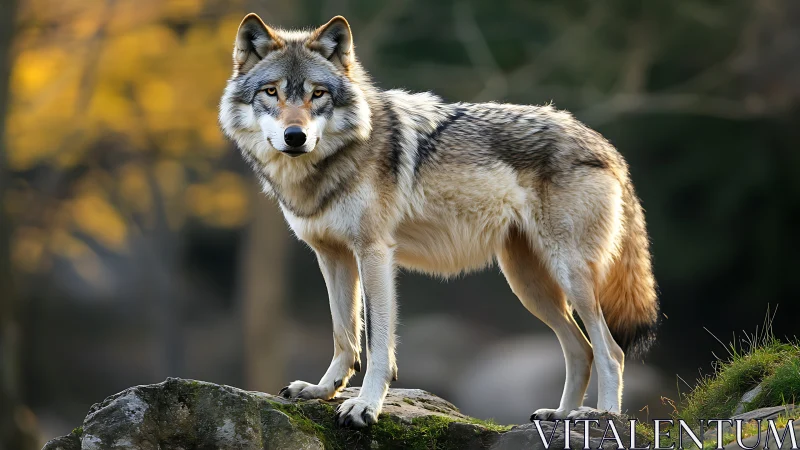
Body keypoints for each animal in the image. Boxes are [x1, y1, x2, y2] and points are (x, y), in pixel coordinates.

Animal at [219, 13, 659, 428]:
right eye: (271, 92)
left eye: (318, 94)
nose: (295, 136)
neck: (333, 161)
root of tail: (605, 145)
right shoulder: (332, 256)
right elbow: (344, 335)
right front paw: (322, 389)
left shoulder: (375, 253)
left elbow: (377, 344)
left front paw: (364, 406)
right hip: (529, 284)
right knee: (581, 349)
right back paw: (561, 415)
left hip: (569, 274)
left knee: (610, 351)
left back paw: (599, 417)